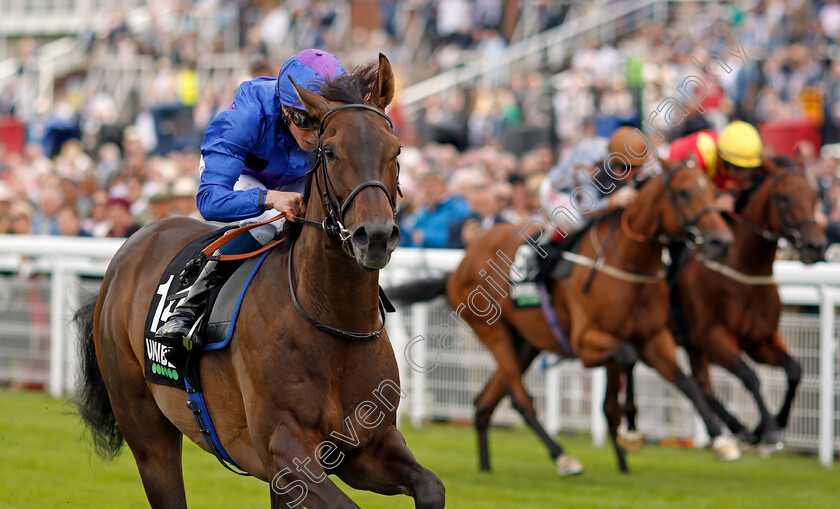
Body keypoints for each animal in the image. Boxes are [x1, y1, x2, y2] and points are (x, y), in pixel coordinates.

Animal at [74, 53, 442, 506]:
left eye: (396, 148)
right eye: (330, 152)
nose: (373, 235)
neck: (333, 325)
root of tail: (132, 246)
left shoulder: (365, 448)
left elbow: (431, 486)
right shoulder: (284, 452)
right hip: (145, 429)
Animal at [388, 159, 736, 472]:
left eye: (711, 190)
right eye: (683, 193)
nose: (721, 241)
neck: (628, 265)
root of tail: (460, 264)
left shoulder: (654, 338)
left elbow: (685, 381)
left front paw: (722, 439)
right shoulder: (586, 343)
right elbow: (627, 357)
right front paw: (632, 431)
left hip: (525, 342)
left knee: (485, 401)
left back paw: (486, 466)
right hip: (494, 333)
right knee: (520, 399)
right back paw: (562, 457)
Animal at [664, 157, 828, 450]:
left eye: (813, 195)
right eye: (785, 197)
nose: (816, 246)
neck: (746, 271)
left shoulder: (759, 340)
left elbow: (795, 370)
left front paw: (772, 422)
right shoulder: (713, 337)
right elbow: (749, 376)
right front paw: (770, 430)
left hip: (692, 345)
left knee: (701, 383)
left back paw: (738, 427)